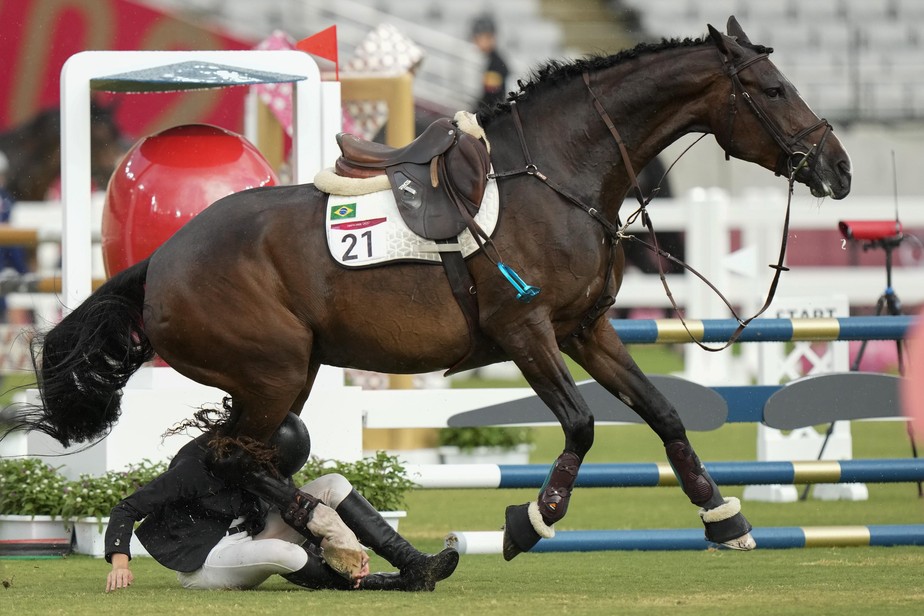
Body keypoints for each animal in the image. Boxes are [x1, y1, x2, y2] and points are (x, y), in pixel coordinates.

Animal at [13, 18, 851, 559]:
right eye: (773, 88)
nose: (838, 169)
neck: (557, 174)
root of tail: (163, 261)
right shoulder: (526, 332)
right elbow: (581, 425)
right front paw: (530, 522)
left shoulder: (587, 329)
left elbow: (665, 415)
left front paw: (723, 516)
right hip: (271, 371)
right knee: (233, 456)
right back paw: (330, 533)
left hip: (292, 372)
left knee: (238, 455)